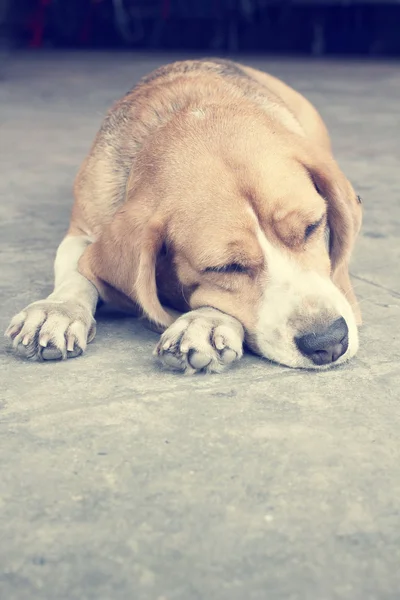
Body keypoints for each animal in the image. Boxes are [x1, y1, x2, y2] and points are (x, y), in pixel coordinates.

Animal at [5, 58, 362, 372]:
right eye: (224, 268)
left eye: (313, 226)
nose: (329, 342)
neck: (190, 111)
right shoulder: (83, 228)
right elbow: (76, 269)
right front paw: (57, 310)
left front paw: (204, 321)